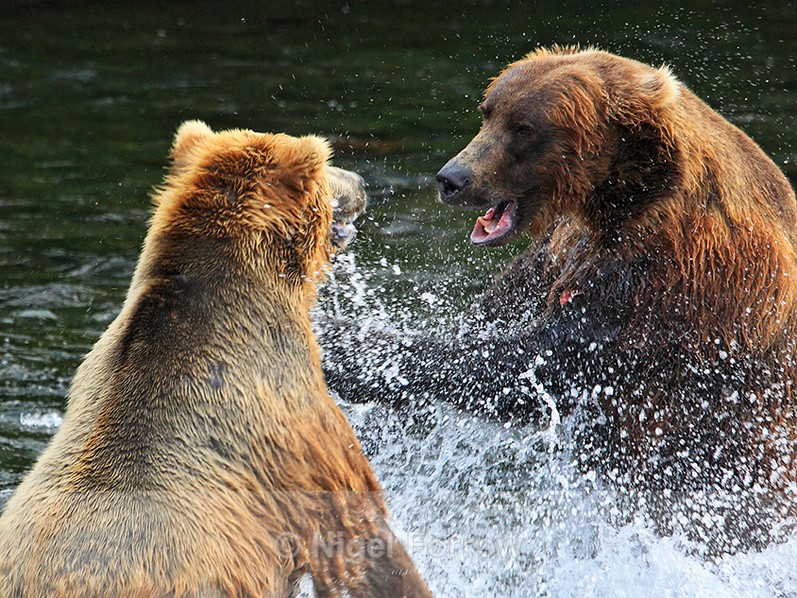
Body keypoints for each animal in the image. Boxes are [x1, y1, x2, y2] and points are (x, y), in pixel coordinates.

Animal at [322, 48, 796, 556]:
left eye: (525, 127)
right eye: (488, 112)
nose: (451, 178)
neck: (620, 199)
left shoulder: (674, 280)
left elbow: (531, 364)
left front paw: (339, 344)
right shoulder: (560, 250)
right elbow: (486, 320)